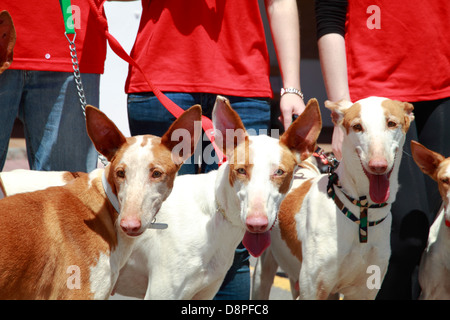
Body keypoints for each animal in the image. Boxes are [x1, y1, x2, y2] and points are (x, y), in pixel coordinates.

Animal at [111, 95, 324, 300]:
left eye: (279, 172)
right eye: (241, 170)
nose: (257, 223)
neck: (213, 216)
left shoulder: (204, 292)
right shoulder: (161, 292)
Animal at [251, 95, 414, 300]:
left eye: (391, 123)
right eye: (357, 126)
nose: (378, 165)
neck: (361, 212)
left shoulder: (364, 291)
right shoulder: (313, 289)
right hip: (264, 271)